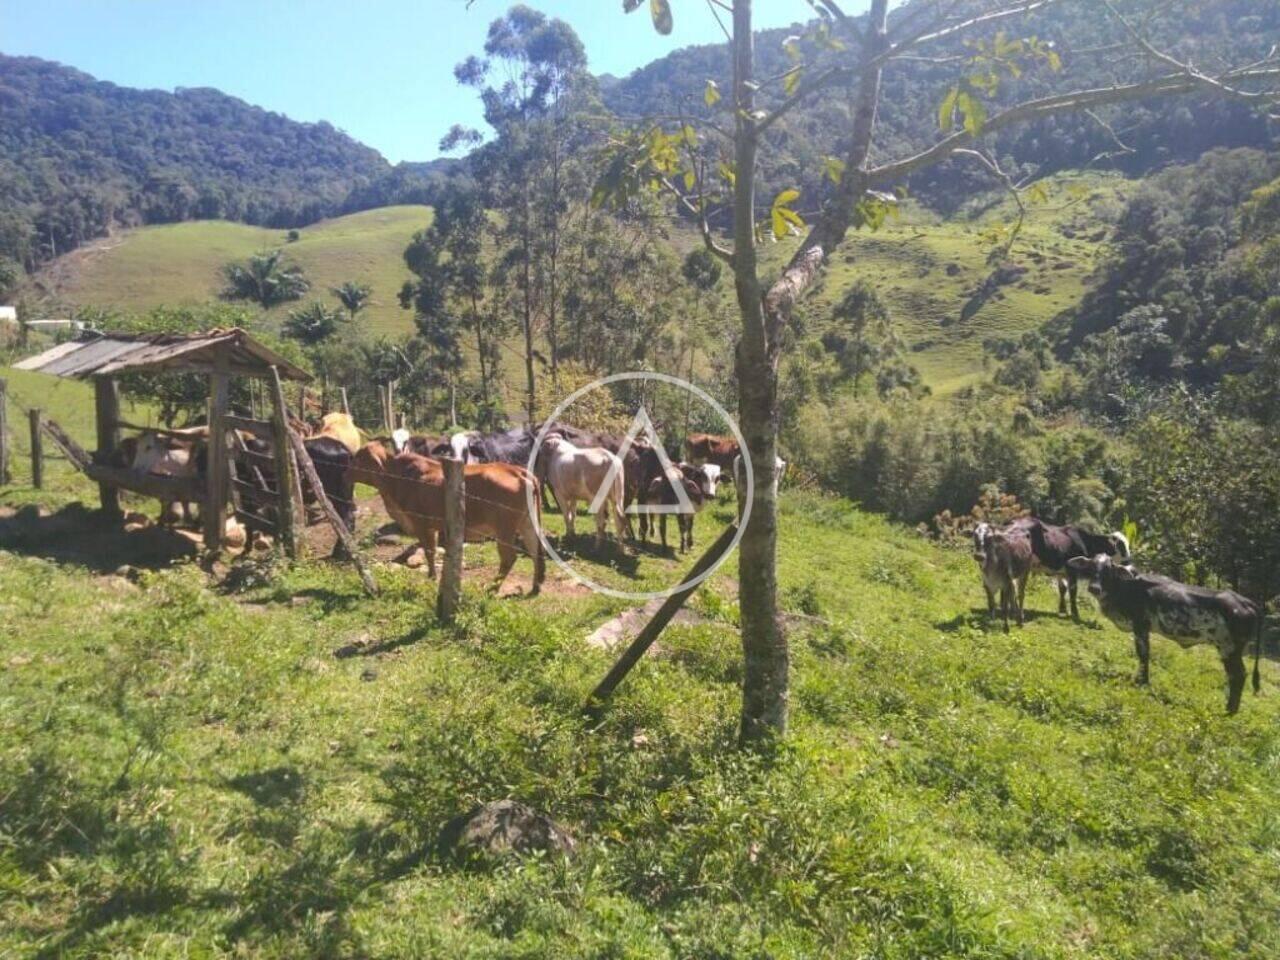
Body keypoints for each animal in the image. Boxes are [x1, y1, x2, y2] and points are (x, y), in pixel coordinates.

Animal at [350, 442, 545, 593]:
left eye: (359, 457)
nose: (346, 470)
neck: (397, 478)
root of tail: (518, 471)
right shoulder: (433, 527)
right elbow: (432, 551)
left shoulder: (421, 524)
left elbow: (429, 551)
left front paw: (432, 577)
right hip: (527, 523)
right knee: (535, 550)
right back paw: (535, 586)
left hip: (504, 530)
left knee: (509, 558)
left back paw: (492, 588)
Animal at [1064, 555, 1264, 716]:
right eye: (1091, 567)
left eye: (1108, 569)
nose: (1094, 588)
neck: (1125, 587)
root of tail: (1246, 601)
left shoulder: (1140, 626)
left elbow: (1143, 655)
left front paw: (1142, 682)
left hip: (1229, 647)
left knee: (1238, 675)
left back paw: (1229, 710)